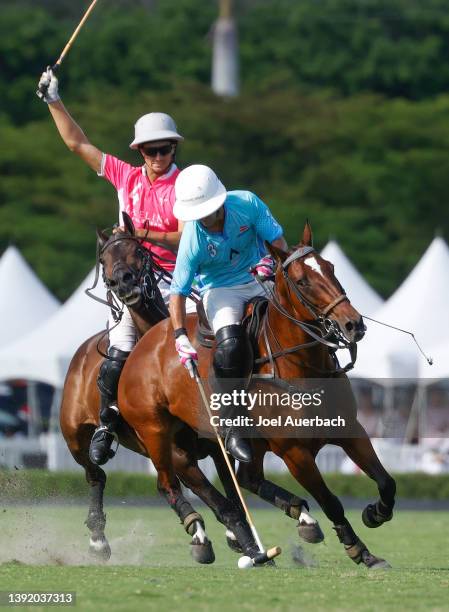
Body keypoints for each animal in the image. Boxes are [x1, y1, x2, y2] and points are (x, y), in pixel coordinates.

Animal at [60, 214, 318, 564]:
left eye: (138, 250)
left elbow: (231, 493)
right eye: (103, 260)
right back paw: (101, 539)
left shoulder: (215, 446)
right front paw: (245, 545)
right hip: (75, 436)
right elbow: (222, 502)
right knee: (97, 473)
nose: (123, 284)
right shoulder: (178, 452)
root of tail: (83, 351)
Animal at [117, 222, 394, 572]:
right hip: (156, 433)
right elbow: (331, 501)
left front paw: (374, 515)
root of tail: (139, 347)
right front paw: (357, 549)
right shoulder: (294, 452)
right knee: (172, 483)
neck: (302, 365)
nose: (353, 324)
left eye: (330, 268)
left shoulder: (350, 430)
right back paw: (215, 540)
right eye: (302, 281)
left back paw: (292, 522)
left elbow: (386, 481)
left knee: (244, 478)